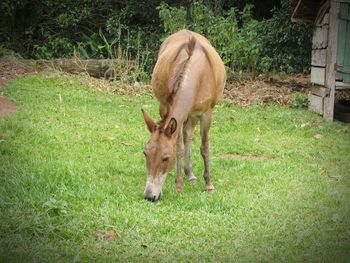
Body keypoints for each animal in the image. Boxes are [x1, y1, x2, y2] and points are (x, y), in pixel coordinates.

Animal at [142, 29, 227, 202]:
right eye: (145, 153)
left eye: (166, 158)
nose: (149, 195)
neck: (198, 74)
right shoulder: (169, 109)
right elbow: (179, 147)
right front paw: (179, 185)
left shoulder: (206, 113)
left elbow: (204, 147)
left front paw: (209, 184)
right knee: (186, 136)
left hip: (193, 114)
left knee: (188, 135)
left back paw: (191, 174)